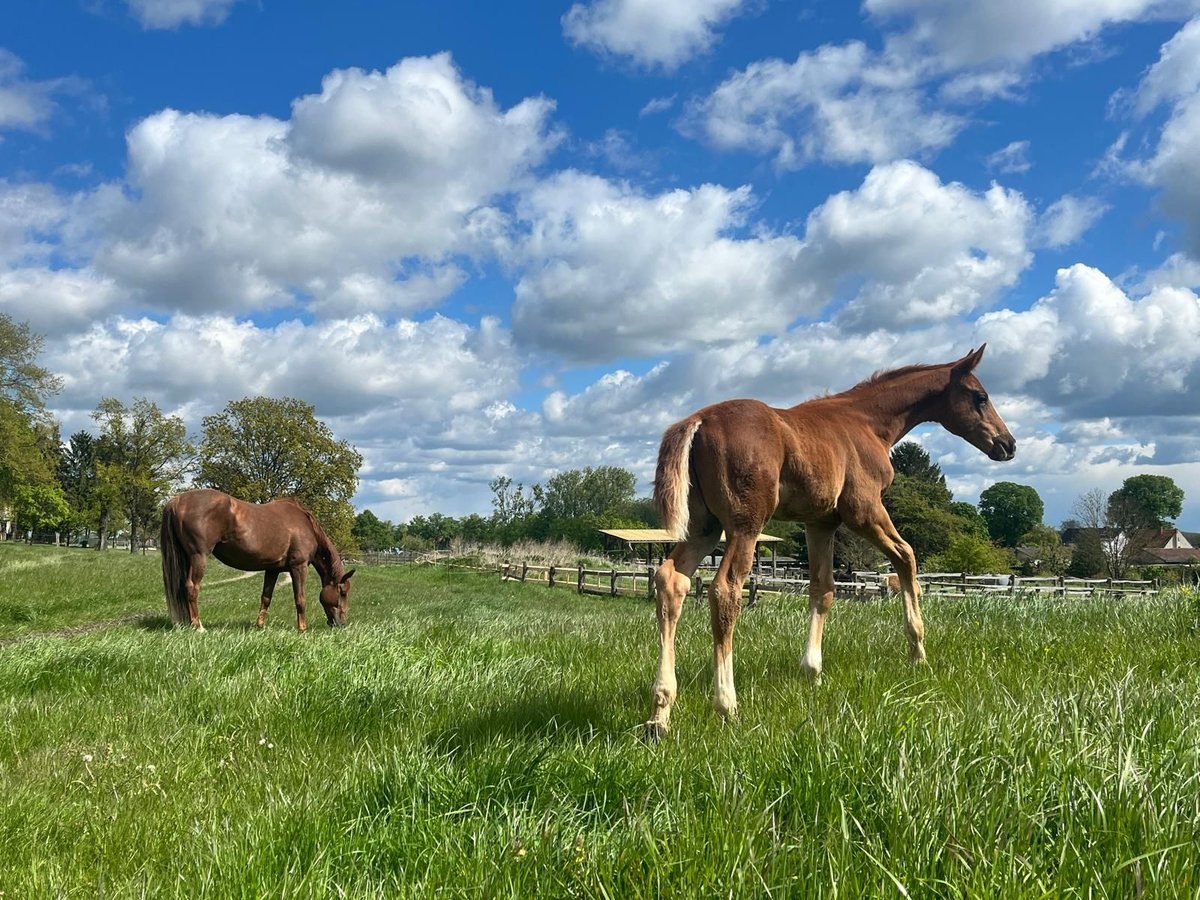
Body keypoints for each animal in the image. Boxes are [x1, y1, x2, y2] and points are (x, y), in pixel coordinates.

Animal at [157, 489, 350, 628]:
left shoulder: (273, 569)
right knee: (192, 587)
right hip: (199, 557)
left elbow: (266, 597)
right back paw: (198, 626)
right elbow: (300, 599)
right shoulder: (299, 567)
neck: (306, 525)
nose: (341, 624)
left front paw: (260, 626)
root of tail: (177, 500)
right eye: (342, 592)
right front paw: (302, 628)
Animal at [648, 345, 1012, 739]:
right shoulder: (864, 510)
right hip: (745, 525)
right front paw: (918, 651)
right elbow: (906, 556)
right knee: (725, 590)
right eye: (980, 397)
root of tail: (698, 421)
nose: (1008, 444)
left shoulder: (820, 522)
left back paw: (660, 712)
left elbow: (823, 589)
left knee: (671, 581)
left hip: (704, 528)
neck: (868, 424)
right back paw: (727, 705)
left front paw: (813, 671)